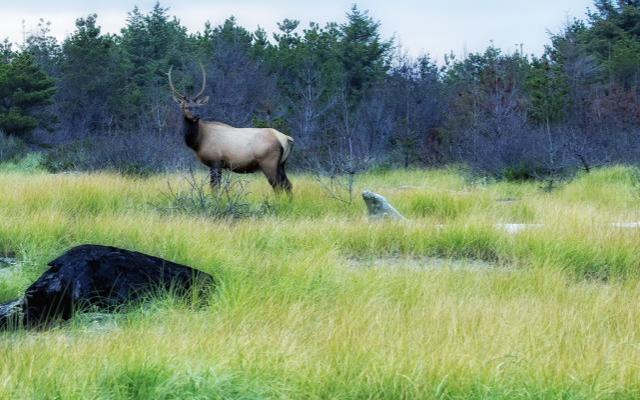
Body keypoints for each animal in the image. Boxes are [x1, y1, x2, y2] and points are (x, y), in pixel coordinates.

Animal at [166, 66, 294, 194]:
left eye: (198, 106)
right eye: (186, 107)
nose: (196, 116)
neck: (198, 141)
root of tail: (285, 138)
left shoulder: (216, 162)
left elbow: (215, 187)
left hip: (268, 163)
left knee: (277, 186)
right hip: (282, 164)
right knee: (288, 185)